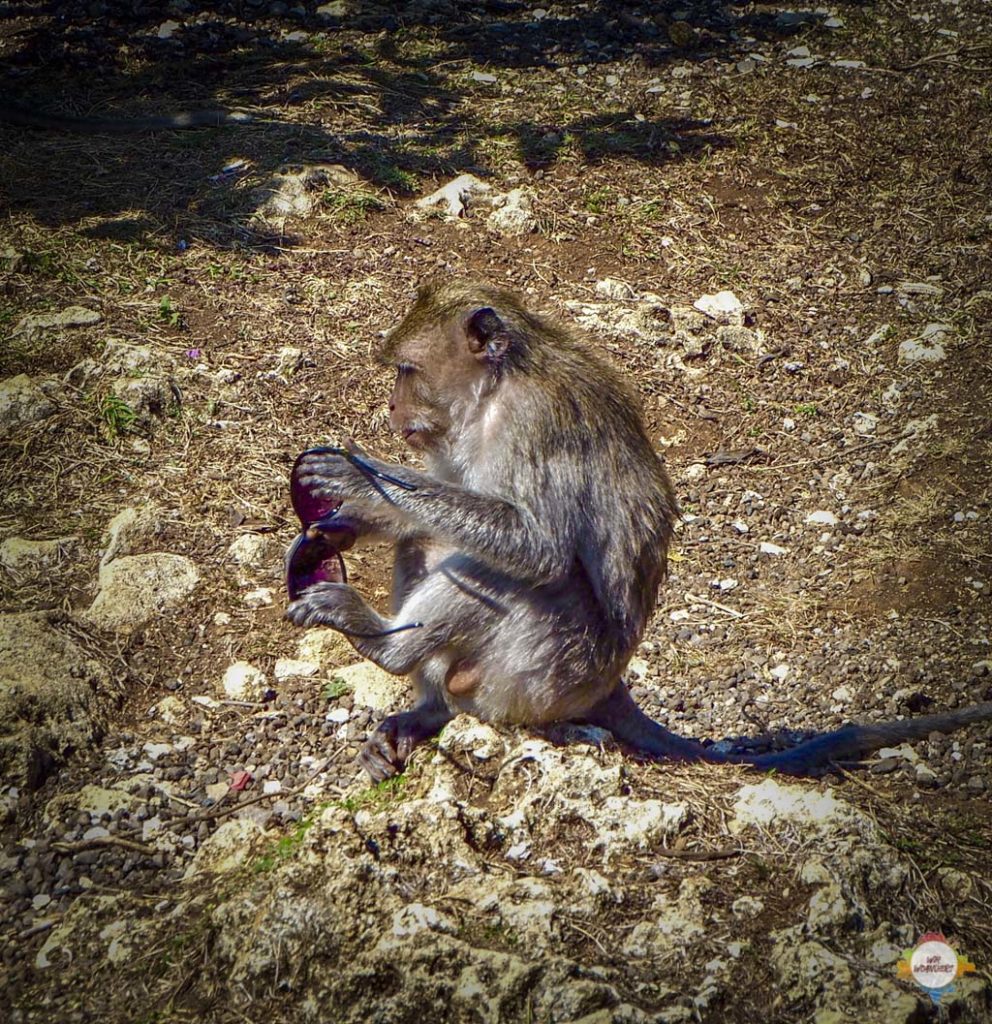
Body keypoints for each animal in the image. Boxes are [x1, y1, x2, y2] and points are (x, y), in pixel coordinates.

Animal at [286, 276, 990, 778]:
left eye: (407, 370)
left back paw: (385, 645)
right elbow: (431, 510)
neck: (494, 391)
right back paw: (424, 711)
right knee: (429, 536)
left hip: (543, 674)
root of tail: (610, 683)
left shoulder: (535, 422)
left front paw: (355, 477)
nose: (392, 406)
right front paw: (344, 522)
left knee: (531, 574)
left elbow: (535, 547)